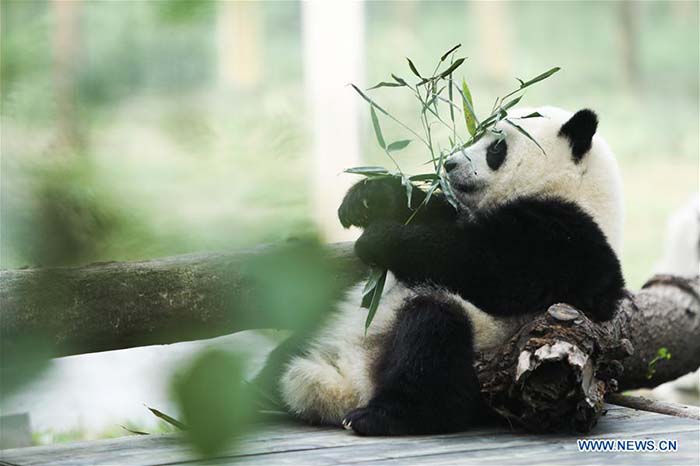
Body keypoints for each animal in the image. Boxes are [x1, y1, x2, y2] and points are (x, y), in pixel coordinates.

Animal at [271, 106, 626, 436]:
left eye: (496, 147)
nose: (450, 164)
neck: (573, 186)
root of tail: (351, 384)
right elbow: (434, 213)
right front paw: (368, 198)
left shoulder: (568, 239)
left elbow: (487, 267)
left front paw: (378, 239)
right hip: (330, 327)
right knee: (289, 349)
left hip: (476, 348)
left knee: (432, 336)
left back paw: (381, 416)